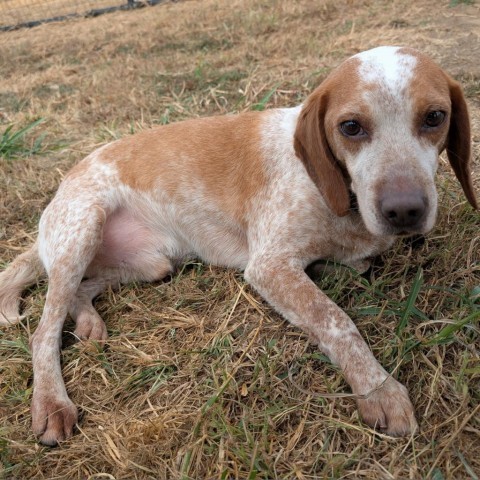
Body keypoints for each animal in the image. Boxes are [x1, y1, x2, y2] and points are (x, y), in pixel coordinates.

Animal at [0, 47, 476, 444]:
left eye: (435, 117)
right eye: (351, 127)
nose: (404, 211)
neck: (336, 194)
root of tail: (61, 188)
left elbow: (349, 269)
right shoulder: (268, 266)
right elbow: (336, 320)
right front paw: (378, 389)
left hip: (153, 262)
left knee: (83, 289)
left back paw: (89, 322)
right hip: (81, 230)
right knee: (43, 330)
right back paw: (51, 402)